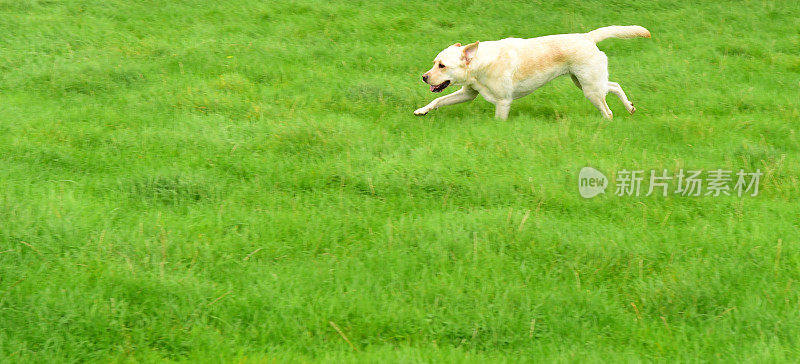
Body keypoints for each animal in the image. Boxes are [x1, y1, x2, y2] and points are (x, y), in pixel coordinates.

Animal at [412, 26, 648, 119]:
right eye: (434, 63)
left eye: (442, 66)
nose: (424, 77)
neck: (481, 64)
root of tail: (587, 36)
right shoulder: (467, 93)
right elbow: (438, 100)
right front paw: (422, 111)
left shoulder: (503, 102)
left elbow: (498, 121)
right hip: (585, 82)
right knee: (614, 86)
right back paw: (630, 107)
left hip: (590, 88)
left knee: (608, 110)